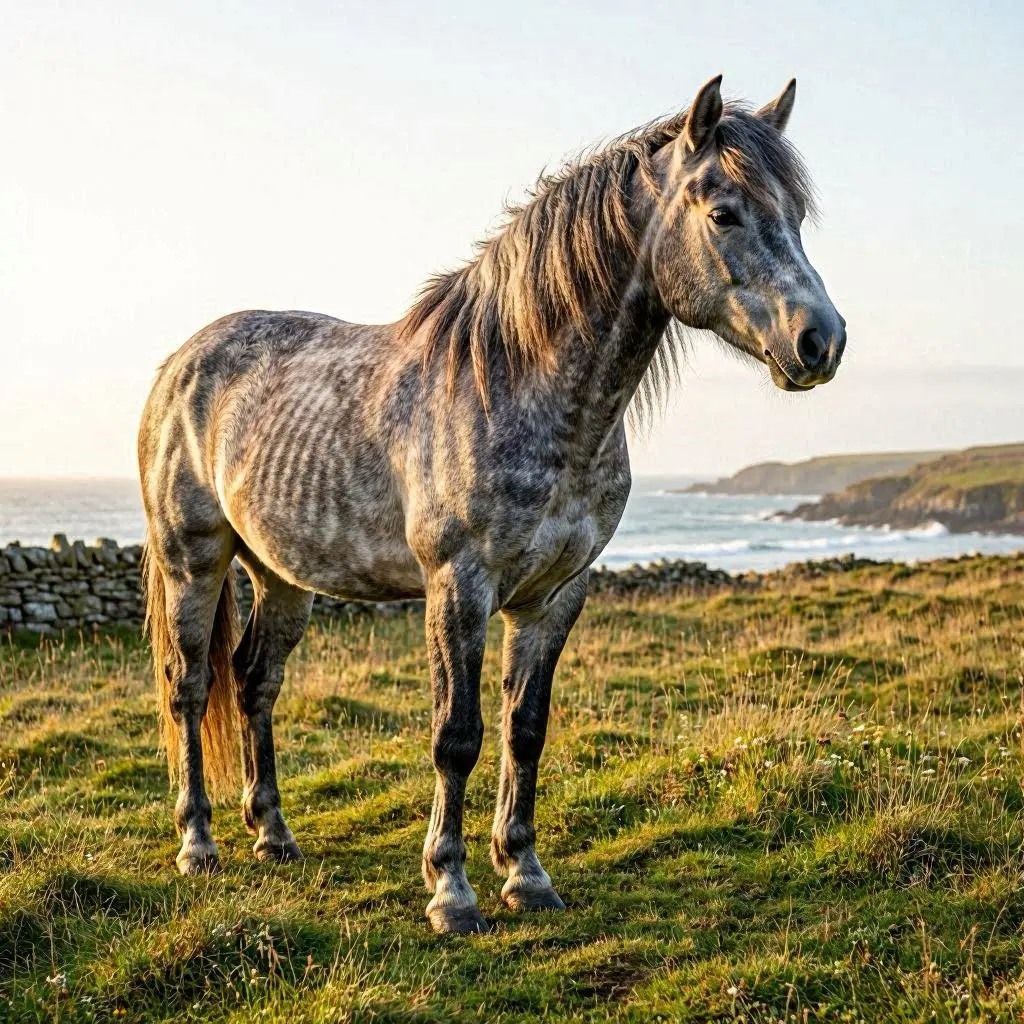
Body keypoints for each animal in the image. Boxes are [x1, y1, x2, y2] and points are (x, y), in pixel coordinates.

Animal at [139, 75, 846, 935]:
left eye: (796, 215)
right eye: (723, 213)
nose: (822, 341)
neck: (519, 381)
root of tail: (179, 363)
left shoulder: (555, 595)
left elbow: (525, 730)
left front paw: (527, 874)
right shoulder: (458, 587)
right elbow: (457, 735)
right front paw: (451, 889)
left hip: (281, 576)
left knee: (253, 681)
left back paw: (273, 834)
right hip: (193, 558)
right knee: (187, 686)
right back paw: (198, 844)